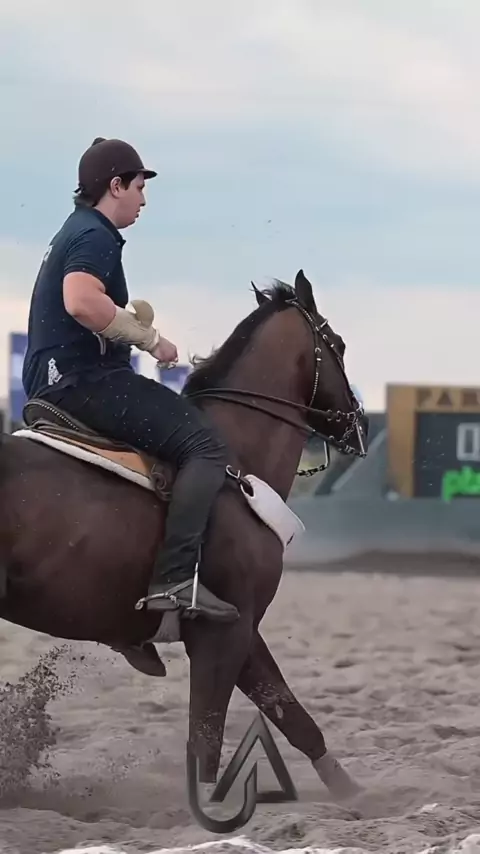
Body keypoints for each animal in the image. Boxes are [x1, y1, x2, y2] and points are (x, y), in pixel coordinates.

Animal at [0, 269, 368, 826]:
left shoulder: (242, 629)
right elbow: (208, 739)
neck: (238, 464)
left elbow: (295, 719)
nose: (360, 425)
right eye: (339, 344)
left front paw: (356, 797)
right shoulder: (223, 633)